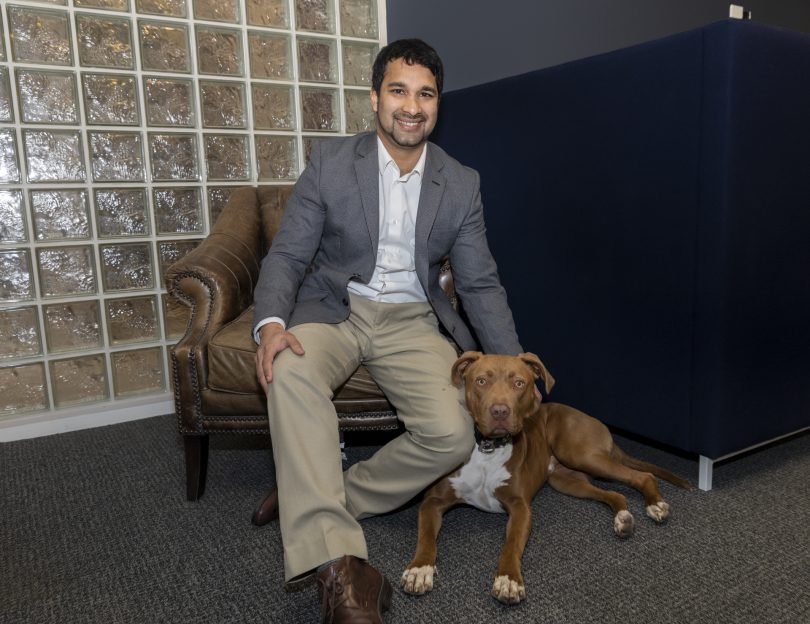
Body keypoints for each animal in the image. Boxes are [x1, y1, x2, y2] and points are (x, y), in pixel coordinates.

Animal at [400, 354, 688, 604]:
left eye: (519, 383)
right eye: (481, 381)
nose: (500, 411)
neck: (487, 448)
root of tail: (590, 417)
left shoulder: (520, 507)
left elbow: (511, 544)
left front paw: (508, 580)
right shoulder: (433, 502)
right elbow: (426, 538)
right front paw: (419, 569)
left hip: (582, 455)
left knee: (642, 476)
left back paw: (656, 505)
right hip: (567, 481)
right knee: (614, 493)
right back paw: (623, 519)